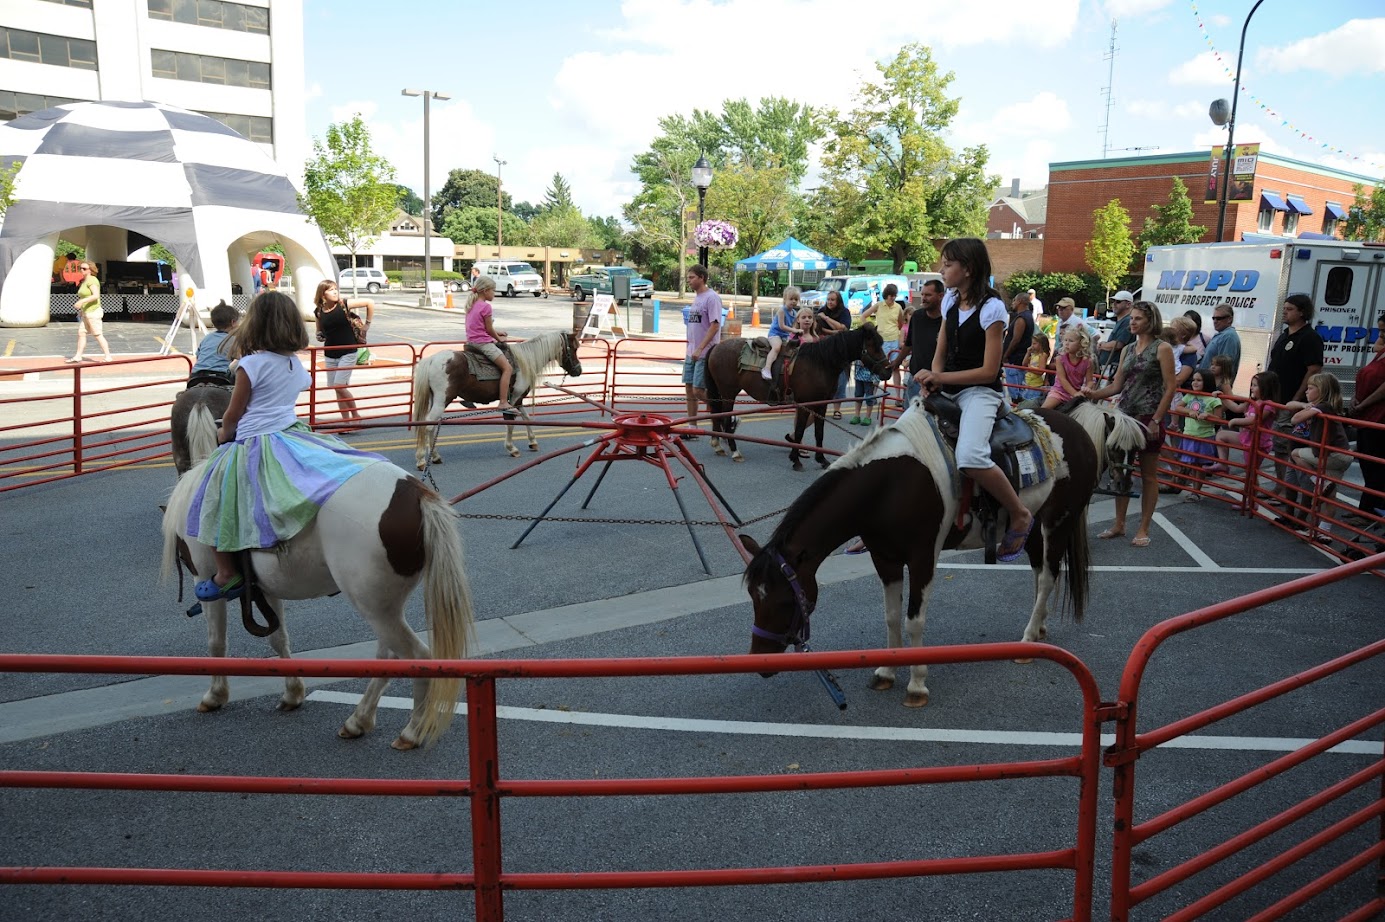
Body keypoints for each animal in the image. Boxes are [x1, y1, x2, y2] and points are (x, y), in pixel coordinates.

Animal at [703, 322, 886, 467]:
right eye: (873, 346)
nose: (888, 369)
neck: (820, 363)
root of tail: (717, 346)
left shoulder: (821, 403)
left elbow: (819, 432)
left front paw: (821, 459)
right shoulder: (805, 404)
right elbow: (799, 431)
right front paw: (795, 459)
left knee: (717, 415)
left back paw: (718, 445)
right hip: (728, 392)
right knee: (726, 419)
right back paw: (735, 452)